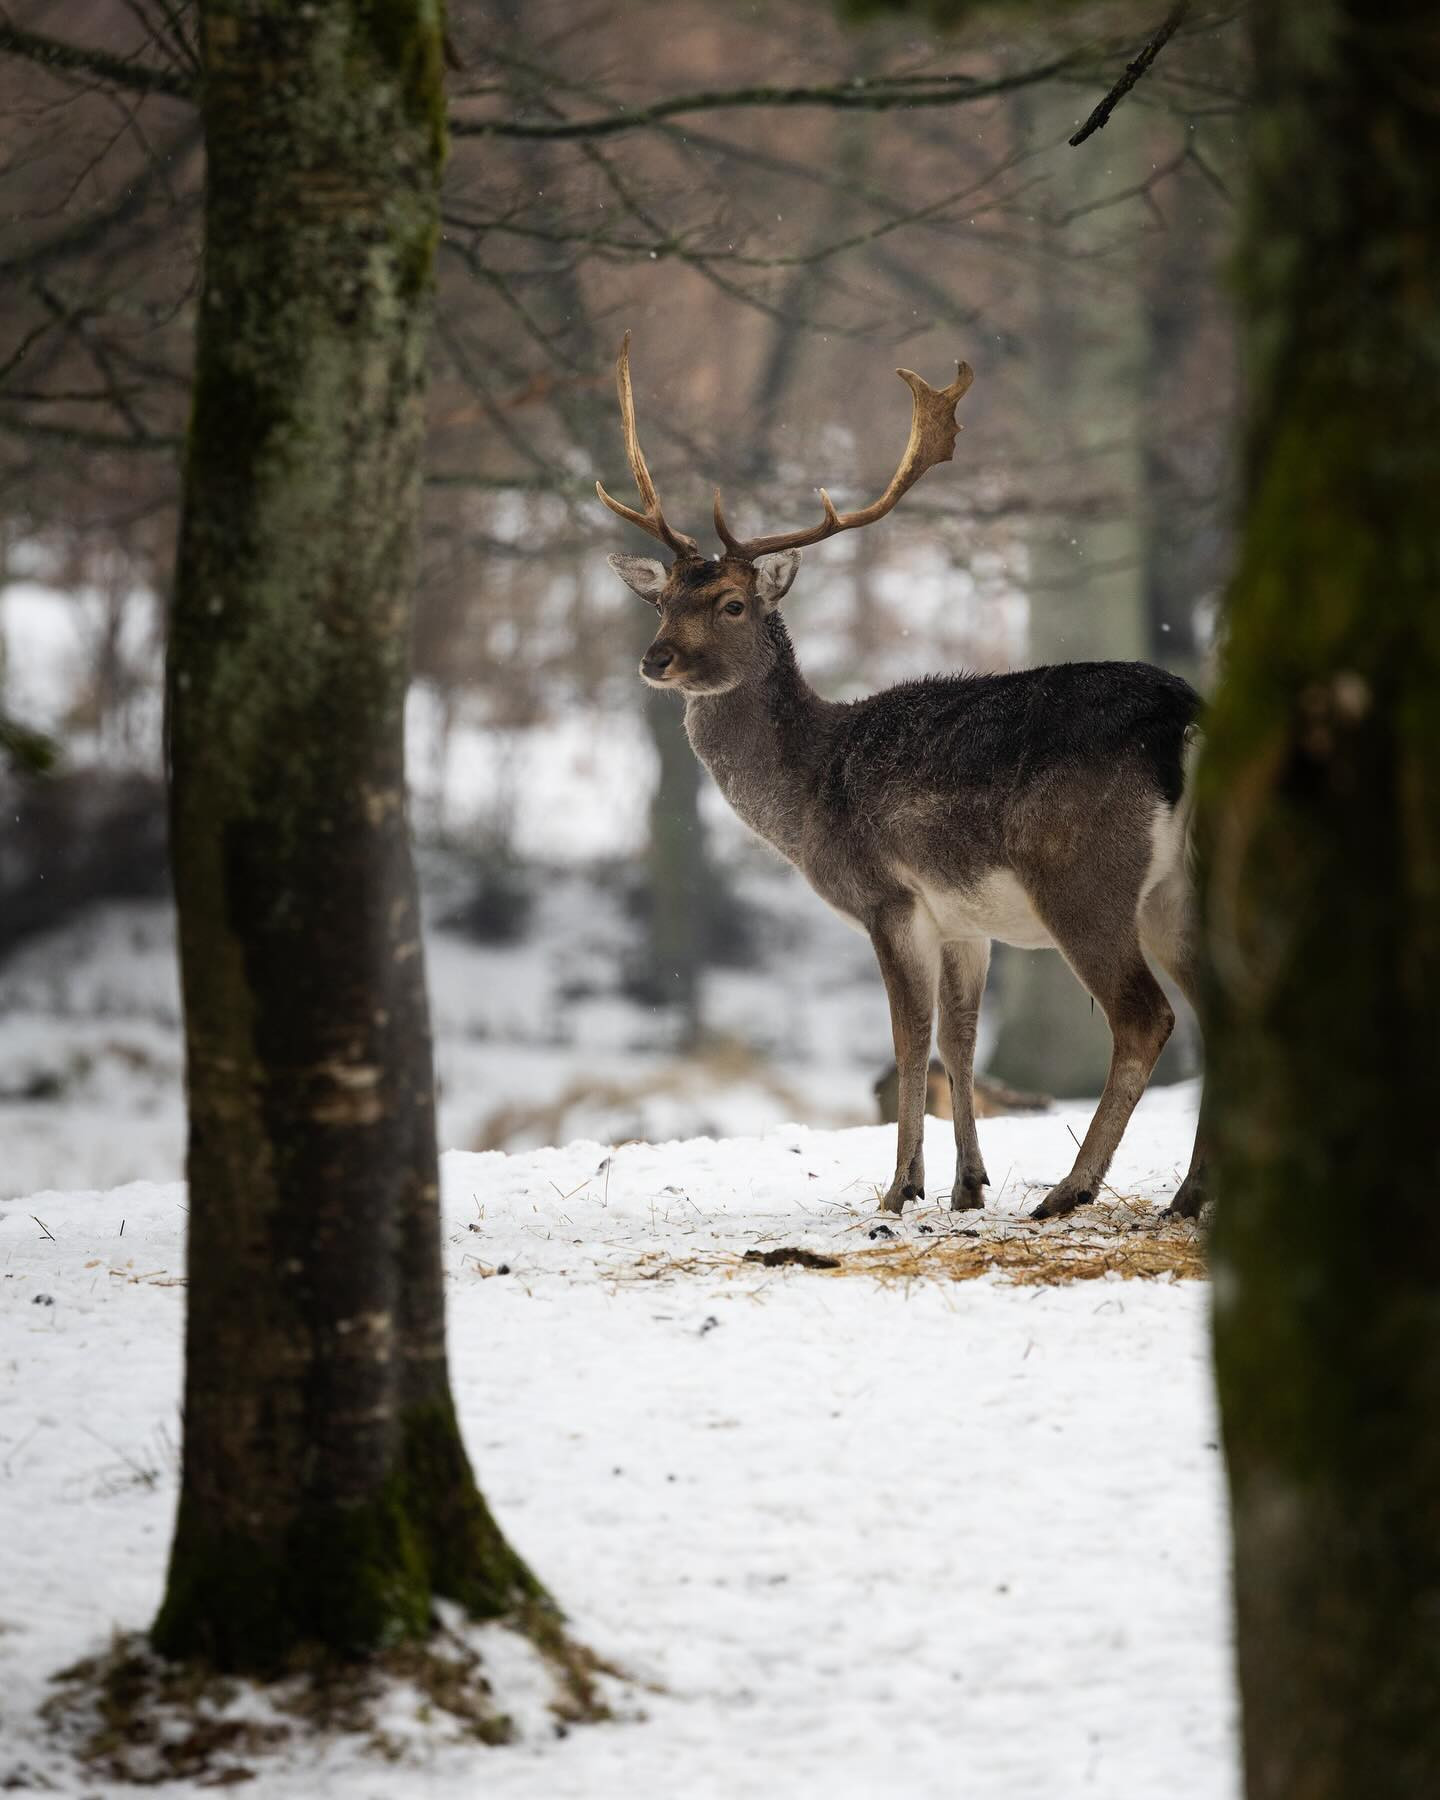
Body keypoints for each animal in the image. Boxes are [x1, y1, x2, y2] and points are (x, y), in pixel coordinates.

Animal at [597, 334, 1207, 1223]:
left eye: (733, 604)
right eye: (663, 600)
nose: (656, 659)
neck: (812, 787)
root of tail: (1183, 717)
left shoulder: (887, 896)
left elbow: (909, 1038)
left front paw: (900, 1188)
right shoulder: (965, 921)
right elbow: (960, 1041)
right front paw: (966, 1186)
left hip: (1085, 876)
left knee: (1145, 1018)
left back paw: (1071, 1189)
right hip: (1177, 888)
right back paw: (1188, 1195)